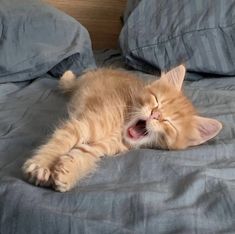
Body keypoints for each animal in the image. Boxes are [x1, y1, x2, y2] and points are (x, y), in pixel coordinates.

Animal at [22, 65, 222, 192]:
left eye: (169, 123)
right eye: (157, 101)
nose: (155, 114)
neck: (121, 126)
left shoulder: (100, 147)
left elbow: (82, 155)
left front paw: (68, 174)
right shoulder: (81, 126)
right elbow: (59, 144)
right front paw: (42, 165)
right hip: (81, 82)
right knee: (70, 82)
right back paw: (69, 75)